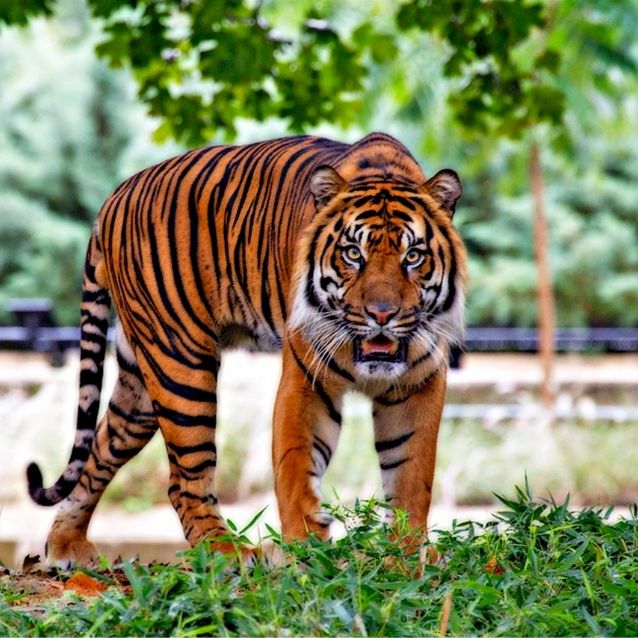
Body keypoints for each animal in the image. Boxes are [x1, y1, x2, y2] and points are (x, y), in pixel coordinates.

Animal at [27, 132, 468, 568]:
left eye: (413, 256)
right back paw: (228, 552)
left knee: (100, 450)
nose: (382, 314)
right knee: (184, 480)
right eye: (353, 254)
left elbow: (411, 476)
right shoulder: (306, 379)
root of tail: (113, 197)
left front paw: (404, 556)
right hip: (181, 365)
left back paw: (66, 545)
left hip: (140, 385)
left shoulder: (418, 384)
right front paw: (308, 554)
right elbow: (297, 468)